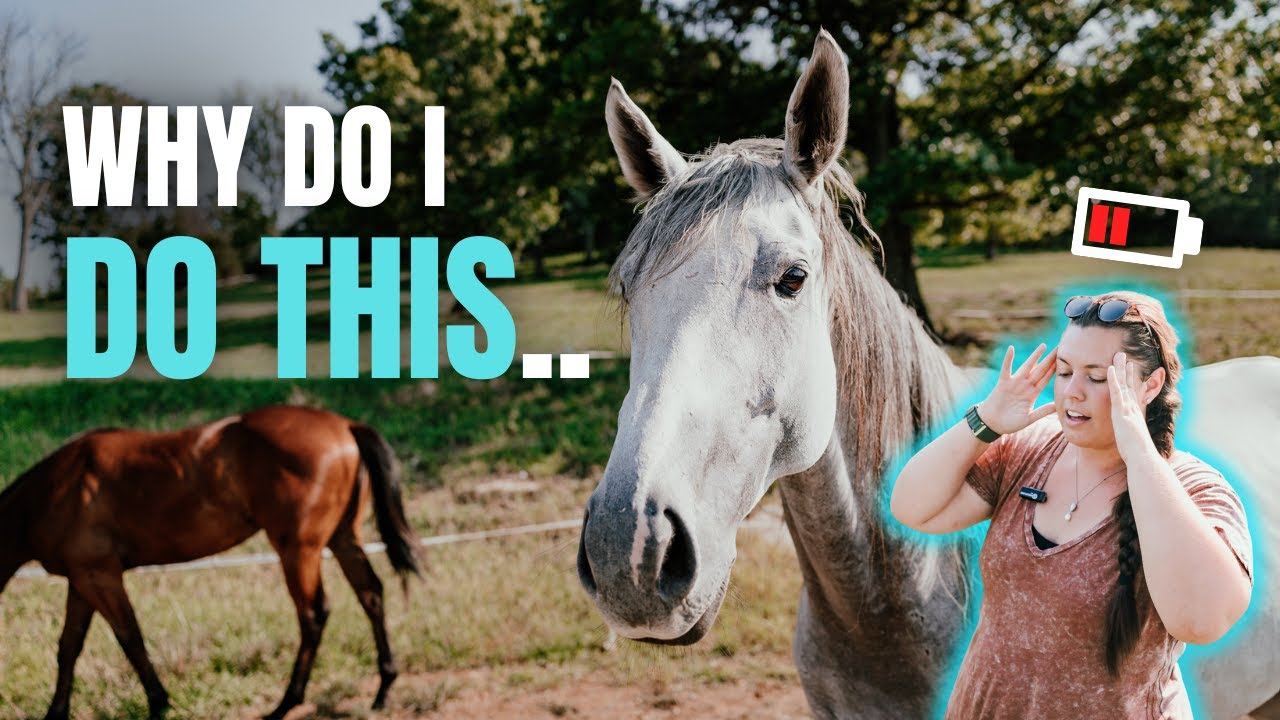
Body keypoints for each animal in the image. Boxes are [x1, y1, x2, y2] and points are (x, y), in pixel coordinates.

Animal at [0, 404, 422, 720]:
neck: (55, 491)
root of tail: (344, 426)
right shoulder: (82, 581)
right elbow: (68, 647)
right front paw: (55, 713)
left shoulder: (100, 576)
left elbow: (130, 639)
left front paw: (158, 704)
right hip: (342, 538)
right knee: (371, 594)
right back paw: (384, 688)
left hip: (298, 549)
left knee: (313, 614)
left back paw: (286, 704)